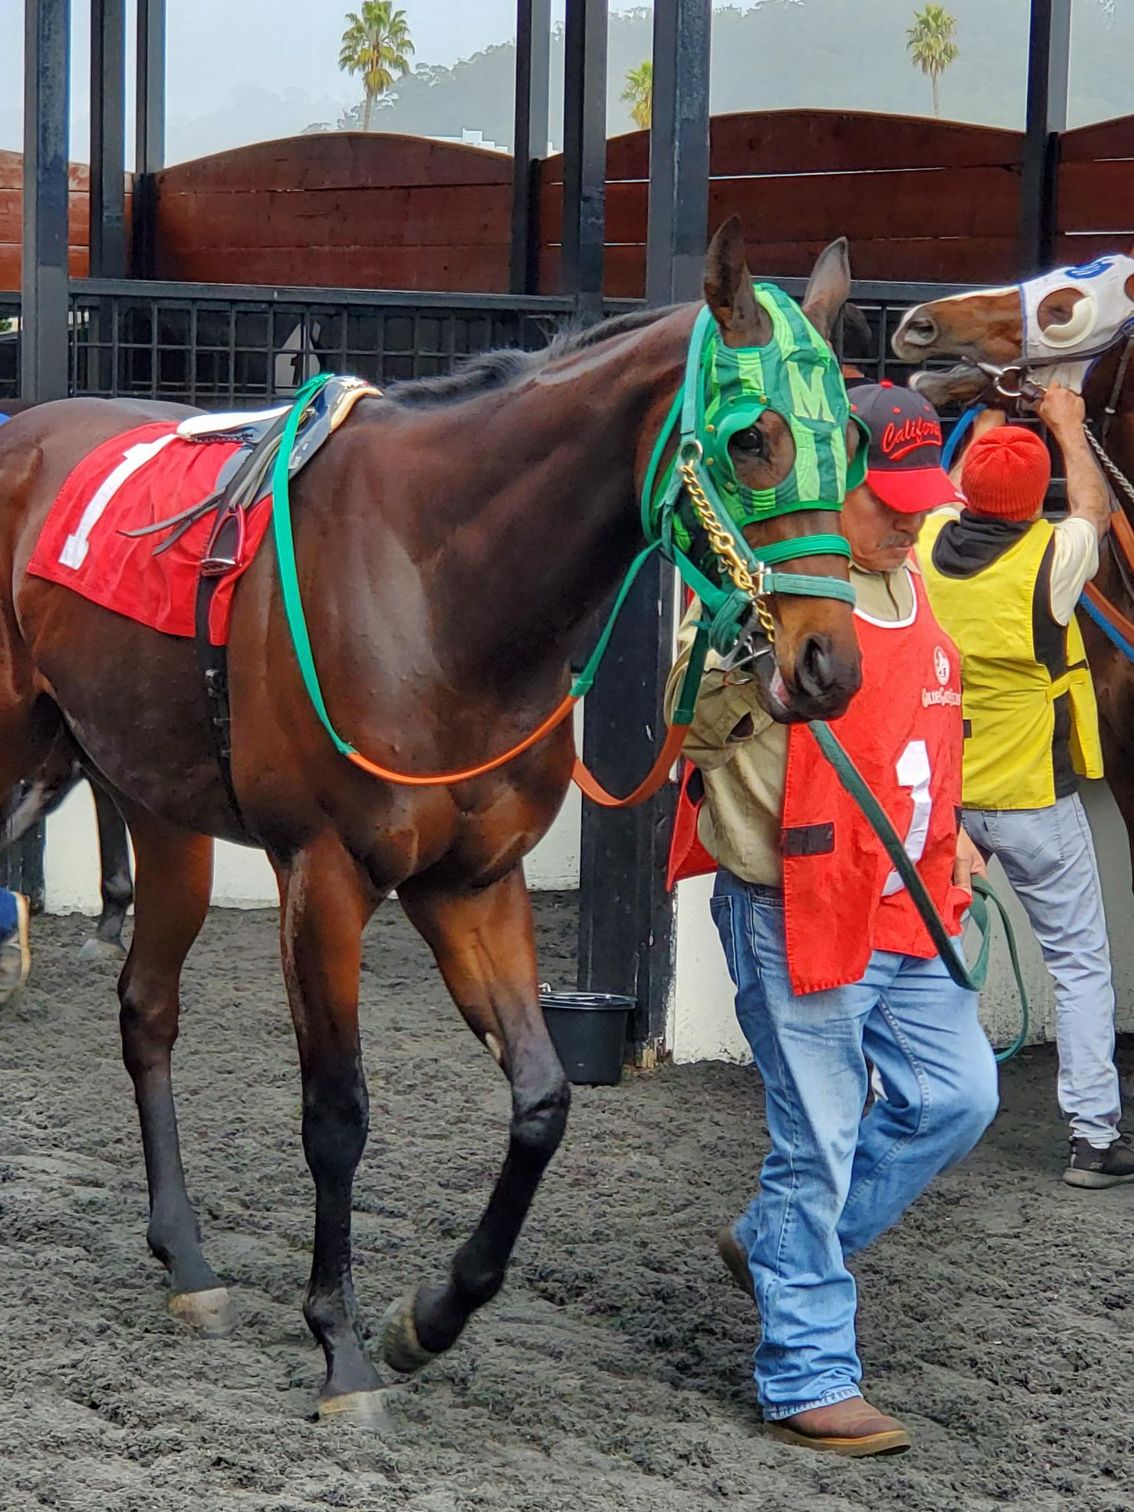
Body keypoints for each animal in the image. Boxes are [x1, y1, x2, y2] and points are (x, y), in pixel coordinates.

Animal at [0, 218, 864, 1420]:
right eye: (752, 439)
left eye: (855, 443)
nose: (830, 664)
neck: (432, 586)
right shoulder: (322, 877)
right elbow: (338, 1114)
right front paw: (342, 1345)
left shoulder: (471, 883)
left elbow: (543, 1100)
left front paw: (430, 1318)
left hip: (155, 802)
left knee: (147, 1010)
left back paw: (187, 1257)